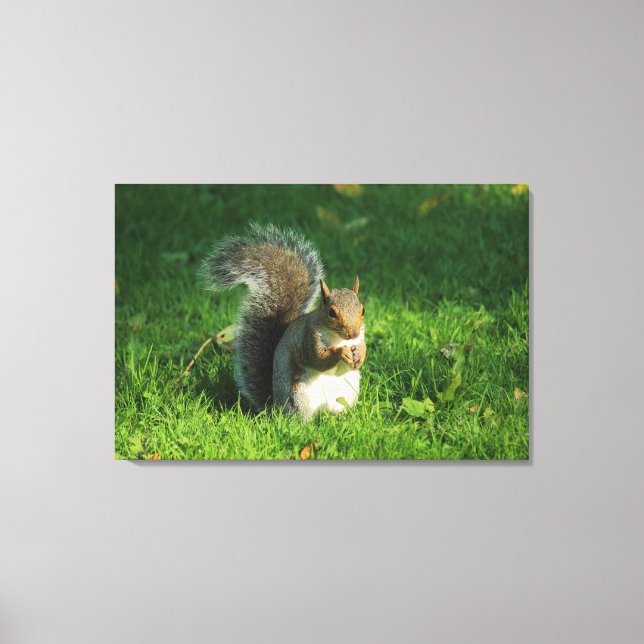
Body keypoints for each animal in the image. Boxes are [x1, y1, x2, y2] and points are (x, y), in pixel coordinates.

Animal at [200, 223, 366, 420]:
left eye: (363, 310)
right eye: (331, 313)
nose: (353, 333)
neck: (339, 338)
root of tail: (275, 407)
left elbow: (361, 350)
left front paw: (360, 355)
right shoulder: (308, 339)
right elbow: (319, 359)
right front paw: (341, 353)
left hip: (347, 392)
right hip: (298, 395)